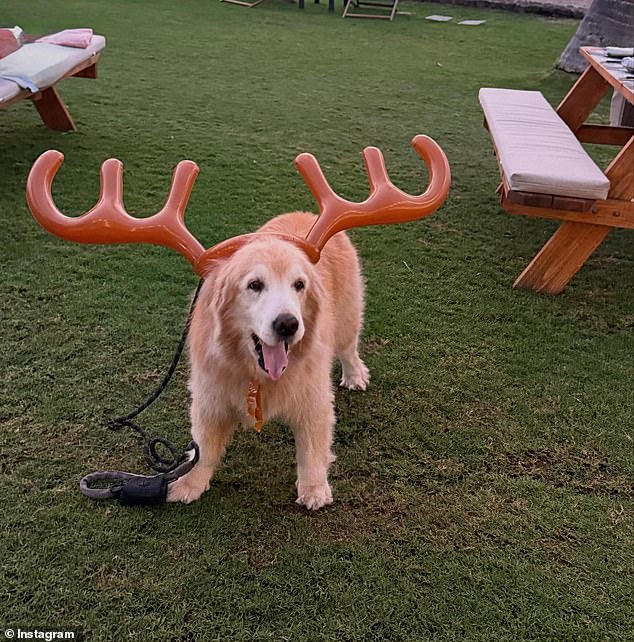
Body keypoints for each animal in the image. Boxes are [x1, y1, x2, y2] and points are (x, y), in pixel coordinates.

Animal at [165, 212, 368, 508]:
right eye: (255, 285)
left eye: (299, 285)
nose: (288, 325)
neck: (257, 373)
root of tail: (304, 213)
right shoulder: (210, 398)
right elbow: (203, 446)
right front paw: (189, 483)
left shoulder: (313, 399)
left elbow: (311, 450)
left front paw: (314, 489)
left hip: (346, 319)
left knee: (349, 348)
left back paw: (355, 376)